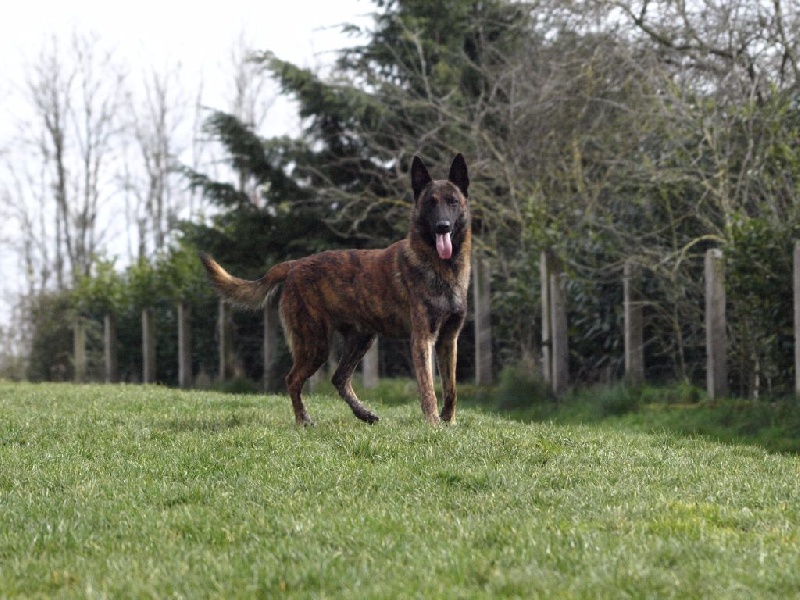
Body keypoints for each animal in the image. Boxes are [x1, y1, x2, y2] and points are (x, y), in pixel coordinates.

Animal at [200, 155, 472, 426]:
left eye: (452, 202)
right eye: (430, 203)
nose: (442, 227)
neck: (441, 267)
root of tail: (294, 265)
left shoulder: (448, 339)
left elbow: (451, 389)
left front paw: (449, 422)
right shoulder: (422, 339)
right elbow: (428, 389)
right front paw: (434, 424)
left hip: (360, 339)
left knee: (339, 378)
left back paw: (363, 413)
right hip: (315, 344)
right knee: (293, 379)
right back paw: (303, 420)